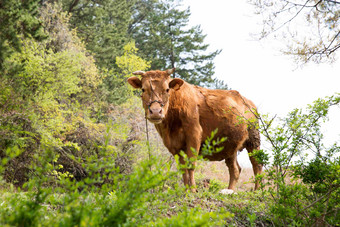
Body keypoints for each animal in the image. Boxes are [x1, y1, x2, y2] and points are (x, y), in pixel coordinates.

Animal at [127, 68, 262, 192]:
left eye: (167, 89)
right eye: (143, 89)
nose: (155, 111)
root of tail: (248, 102)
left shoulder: (194, 134)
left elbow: (190, 164)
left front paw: (192, 190)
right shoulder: (173, 144)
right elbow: (182, 168)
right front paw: (186, 190)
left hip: (253, 140)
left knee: (257, 164)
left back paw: (257, 191)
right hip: (231, 146)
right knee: (235, 169)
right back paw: (229, 190)